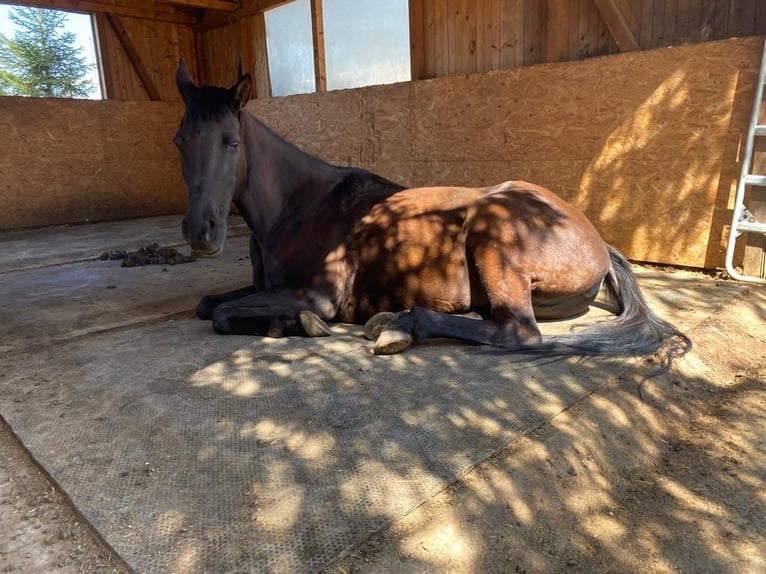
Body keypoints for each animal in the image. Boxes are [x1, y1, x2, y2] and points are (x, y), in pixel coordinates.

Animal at [177, 60, 692, 372]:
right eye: (180, 139)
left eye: (231, 142)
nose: (201, 233)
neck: (300, 207)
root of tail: (595, 239)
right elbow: (208, 304)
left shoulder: (314, 295)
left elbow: (221, 314)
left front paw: (300, 324)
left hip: (493, 240)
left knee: (517, 333)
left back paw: (399, 327)